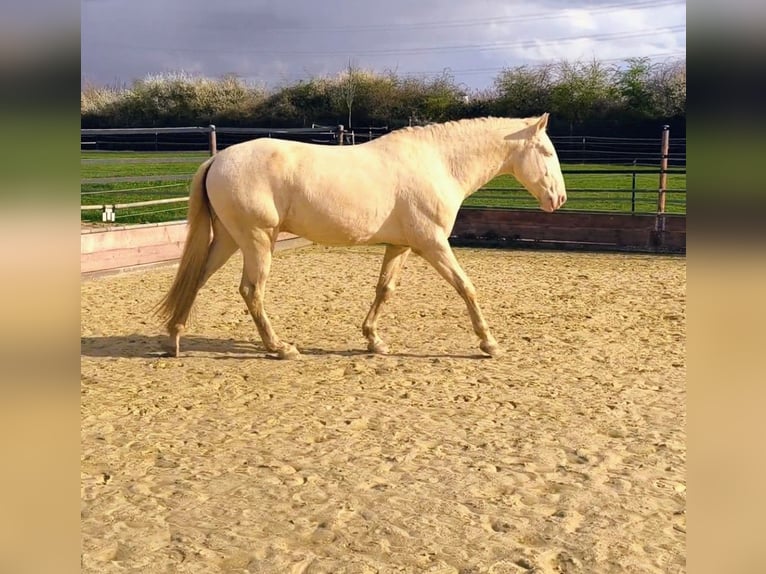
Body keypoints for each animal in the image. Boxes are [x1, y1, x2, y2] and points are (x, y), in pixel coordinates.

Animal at [157, 114, 566, 359]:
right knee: (251, 291)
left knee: (197, 278)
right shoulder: (433, 244)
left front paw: (374, 340)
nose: (558, 199)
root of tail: (218, 159)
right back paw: (280, 347)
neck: (437, 163)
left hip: (229, 239)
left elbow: (384, 290)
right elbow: (466, 287)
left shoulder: (401, 246)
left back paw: (175, 338)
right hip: (257, 240)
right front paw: (489, 343)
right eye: (547, 151)